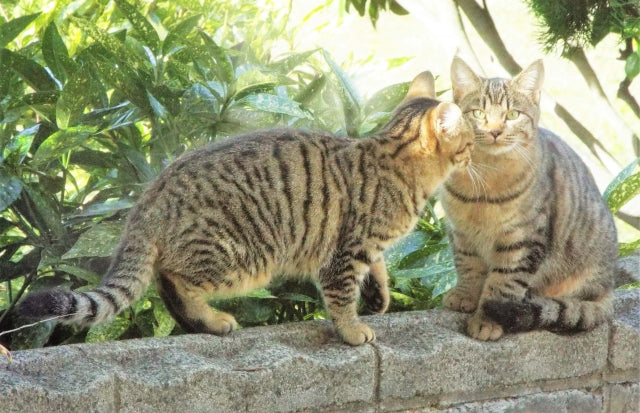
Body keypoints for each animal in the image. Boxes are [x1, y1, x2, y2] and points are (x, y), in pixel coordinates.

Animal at [18, 70, 476, 344]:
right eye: (469, 140)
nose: (476, 151)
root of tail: (150, 196)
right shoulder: (344, 254)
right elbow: (342, 297)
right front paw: (352, 330)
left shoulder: (367, 247)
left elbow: (378, 270)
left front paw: (380, 297)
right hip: (243, 257)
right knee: (176, 280)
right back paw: (213, 320)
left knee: (165, 285)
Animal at [442, 58, 616, 342]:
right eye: (478, 113)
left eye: (512, 115)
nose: (494, 131)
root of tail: (610, 288)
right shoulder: (461, 233)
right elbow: (468, 265)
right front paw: (465, 295)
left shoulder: (523, 241)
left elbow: (502, 285)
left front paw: (486, 319)